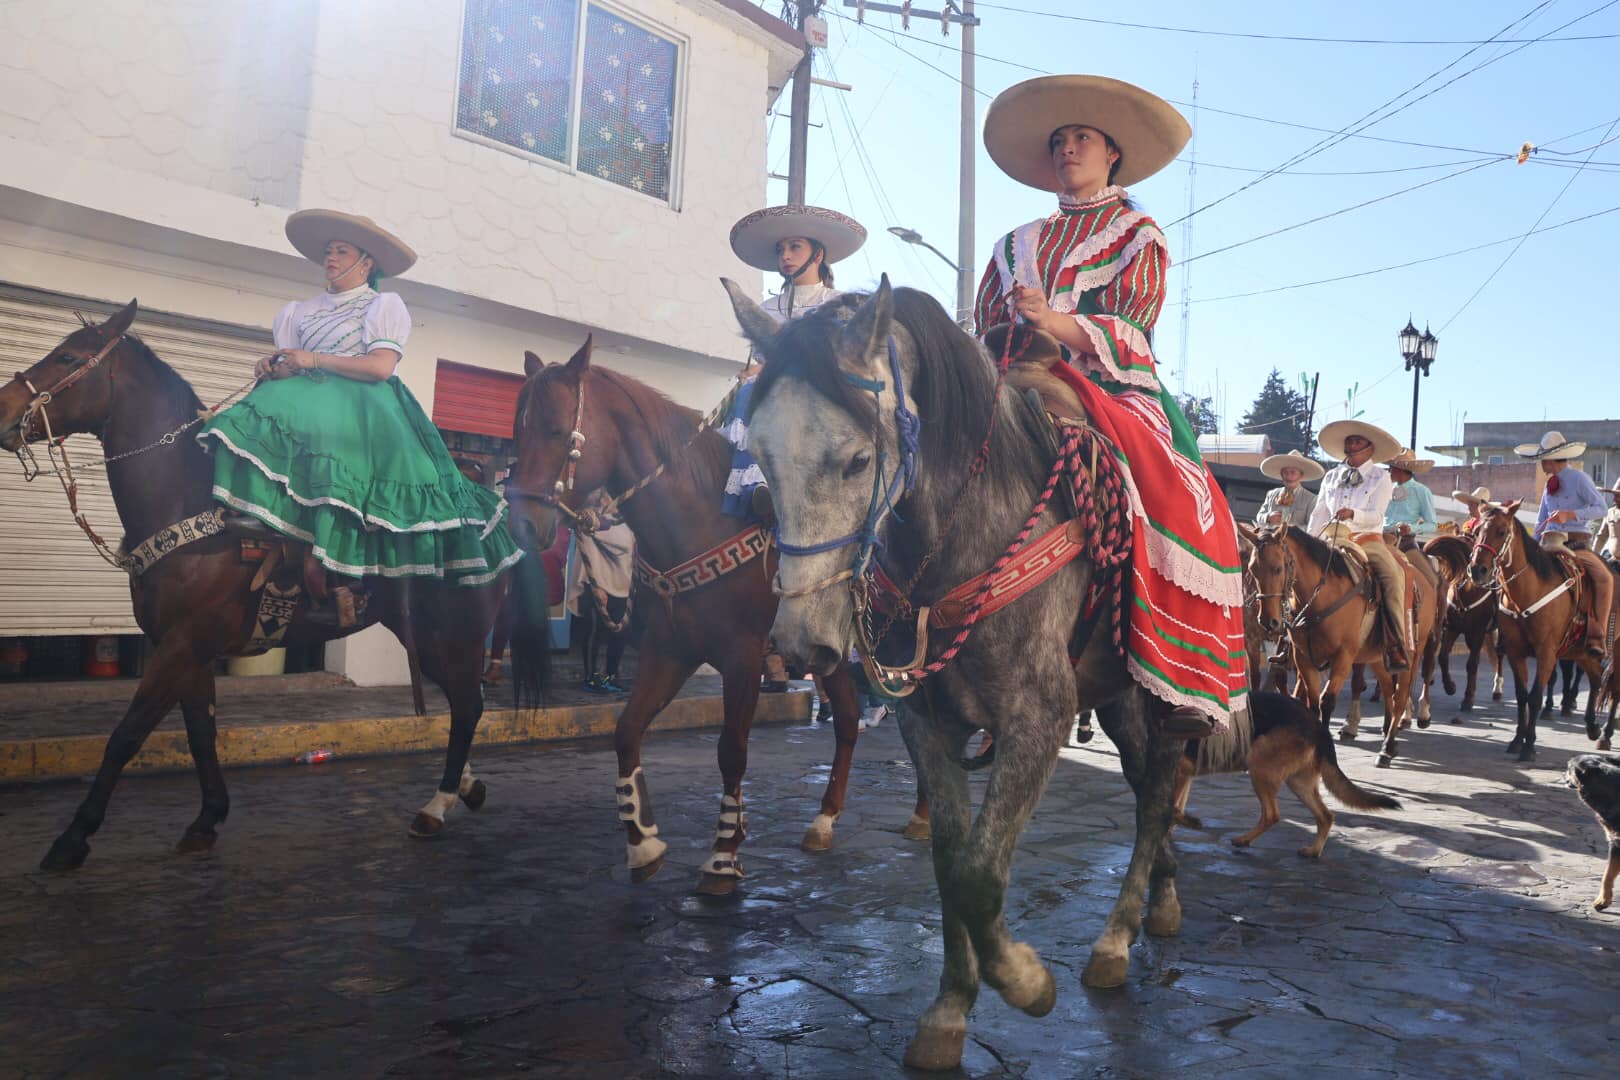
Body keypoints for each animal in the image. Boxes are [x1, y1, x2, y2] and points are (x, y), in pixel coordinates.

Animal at [0, 299, 537, 874]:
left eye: (67, 357)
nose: (3, 411)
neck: (192, 507)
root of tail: (494, 514)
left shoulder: (180, 645)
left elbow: (126, 736)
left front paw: (72, 838)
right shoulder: (189, 650)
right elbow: (200, 731)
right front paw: (207, 819)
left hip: (452, 637)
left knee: (469, 706)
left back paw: (436, 806)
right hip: (426, 637)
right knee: (462, 704)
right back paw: (465, 787)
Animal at [498, 340, 926, 893]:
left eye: (554, 430)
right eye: (517, 430)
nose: (523, 525)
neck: (700, 521)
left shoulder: (743, 658)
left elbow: (732, 751)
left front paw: (723, 856)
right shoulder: (669, 652)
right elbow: (626, 731)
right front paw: (643, 842)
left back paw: (923, 813)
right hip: (833, 653)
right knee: (851, 718)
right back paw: (824, 820)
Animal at [725, 278, 1250, 1075]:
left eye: (855, 461)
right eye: (759, 457)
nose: (800, 644)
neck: (965, 536)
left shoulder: (1039, 718)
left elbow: (980, 871)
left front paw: (1027, 982)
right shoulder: (926, 723)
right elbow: (952, 863)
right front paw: (949, 1010)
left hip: (1155, 692)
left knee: (1159, 793)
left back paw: (1114, 939)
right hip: (1115, 702)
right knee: (1148, 796)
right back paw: (1159, 900)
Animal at [1244, 524, 1438, 767]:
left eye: (1278, 568)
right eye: (1252, 569)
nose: (1268, 621)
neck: (1322, 597)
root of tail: (1424, 580)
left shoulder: (1343, 657)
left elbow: (1326, 701)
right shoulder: (1303, 658)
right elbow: (1312, 703)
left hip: (1411, 654)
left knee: (1401, 696)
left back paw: (1386, 749)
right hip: (1377, 657)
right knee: (1387, 689)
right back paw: (1388, 737)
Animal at [1470, 505, 1607, 761]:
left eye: (1501, 531)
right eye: (1476, 532)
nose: (1477, 570)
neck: (1528, 591)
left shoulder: (1546, 653)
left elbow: (1535, 696)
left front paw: (1529, 746)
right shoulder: (1515, 652)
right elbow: (1522, 695)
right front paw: (1517, 740)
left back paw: (1605, 733)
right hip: (1581, 650)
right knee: (1595, 678)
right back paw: (1593, 727)